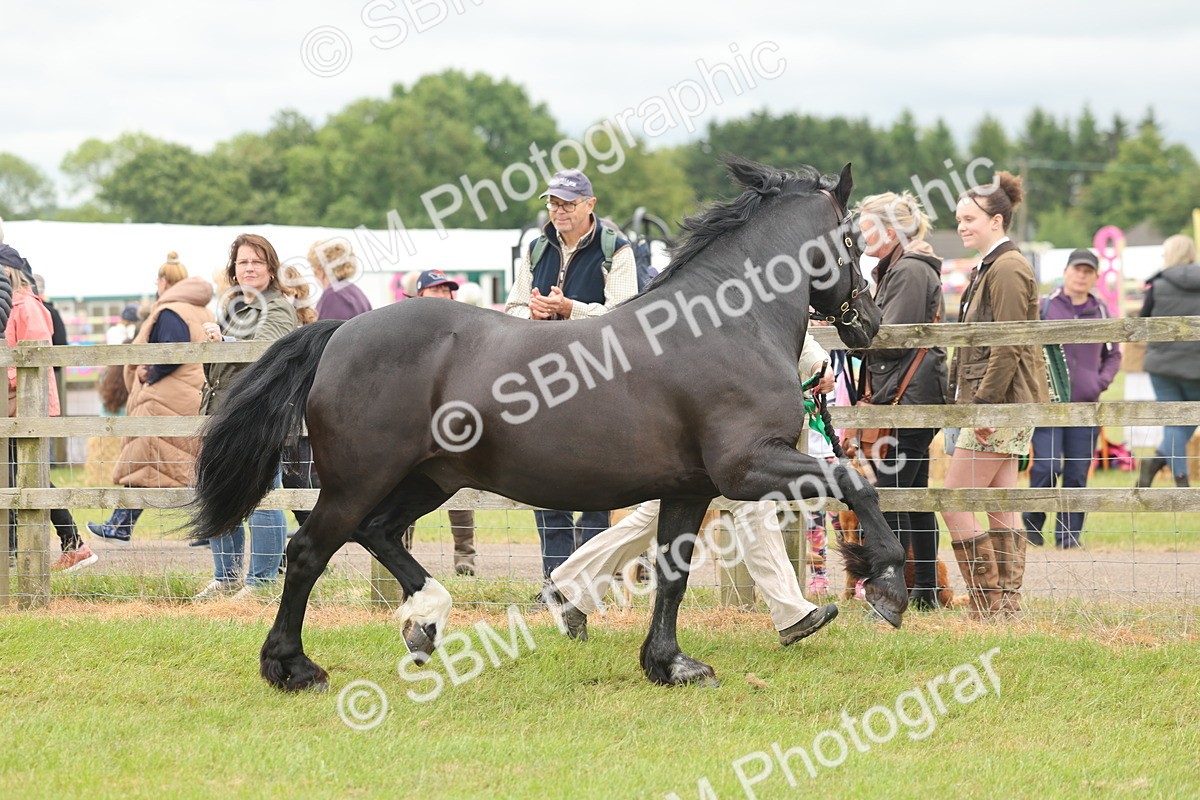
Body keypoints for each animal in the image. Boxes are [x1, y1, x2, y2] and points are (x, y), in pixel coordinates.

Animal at [189, 157, 905, 691]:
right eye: (852, 240)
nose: (868, 322)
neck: (727, 327)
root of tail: (339, 333)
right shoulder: (749, 465)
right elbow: (855, 482)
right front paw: (887, 585)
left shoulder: (691, 487)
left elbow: (672, 575)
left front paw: (670, 665)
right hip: (360, 478)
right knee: (310, 550)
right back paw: (292, 667)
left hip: (432, 478)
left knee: (378, 533)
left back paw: (425, 621)